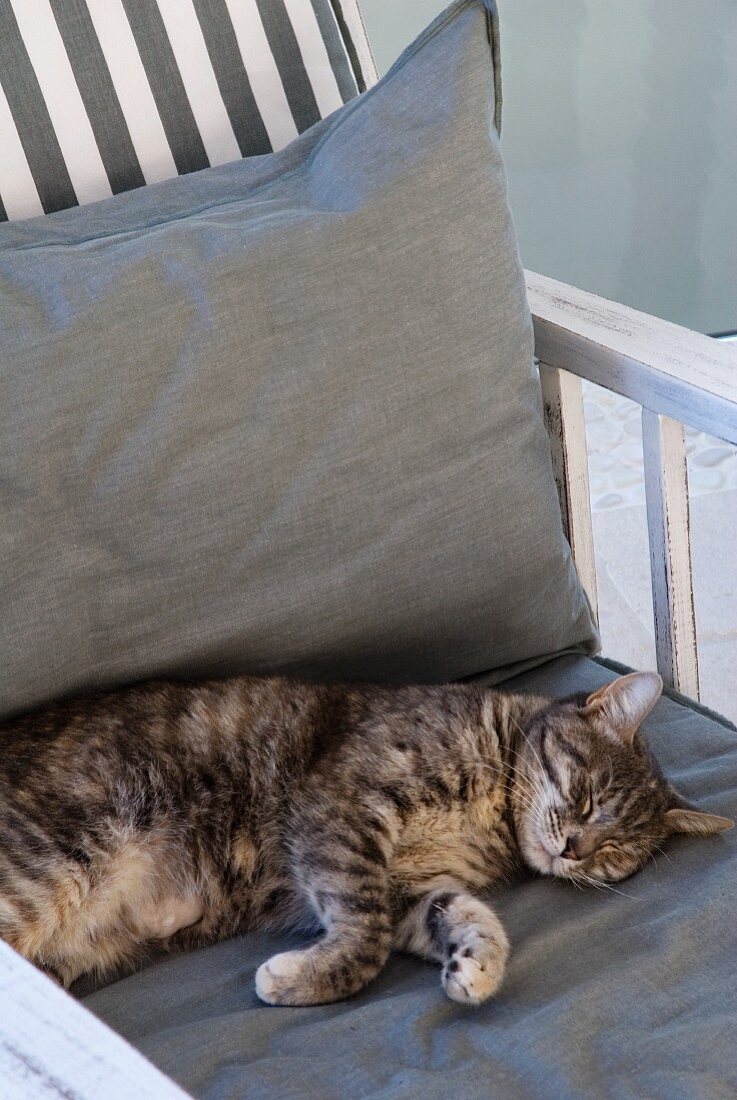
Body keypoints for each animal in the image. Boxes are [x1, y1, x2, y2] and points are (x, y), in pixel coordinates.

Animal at [0, 668, 730, 1007]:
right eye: (587, 796)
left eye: (617, 852)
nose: (575, 848)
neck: (489, 823)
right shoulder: (343, 814)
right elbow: (365, 936)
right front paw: (303, 979)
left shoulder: (411, 884)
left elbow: (467, 916)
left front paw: (476, 965)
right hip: (48, 870)